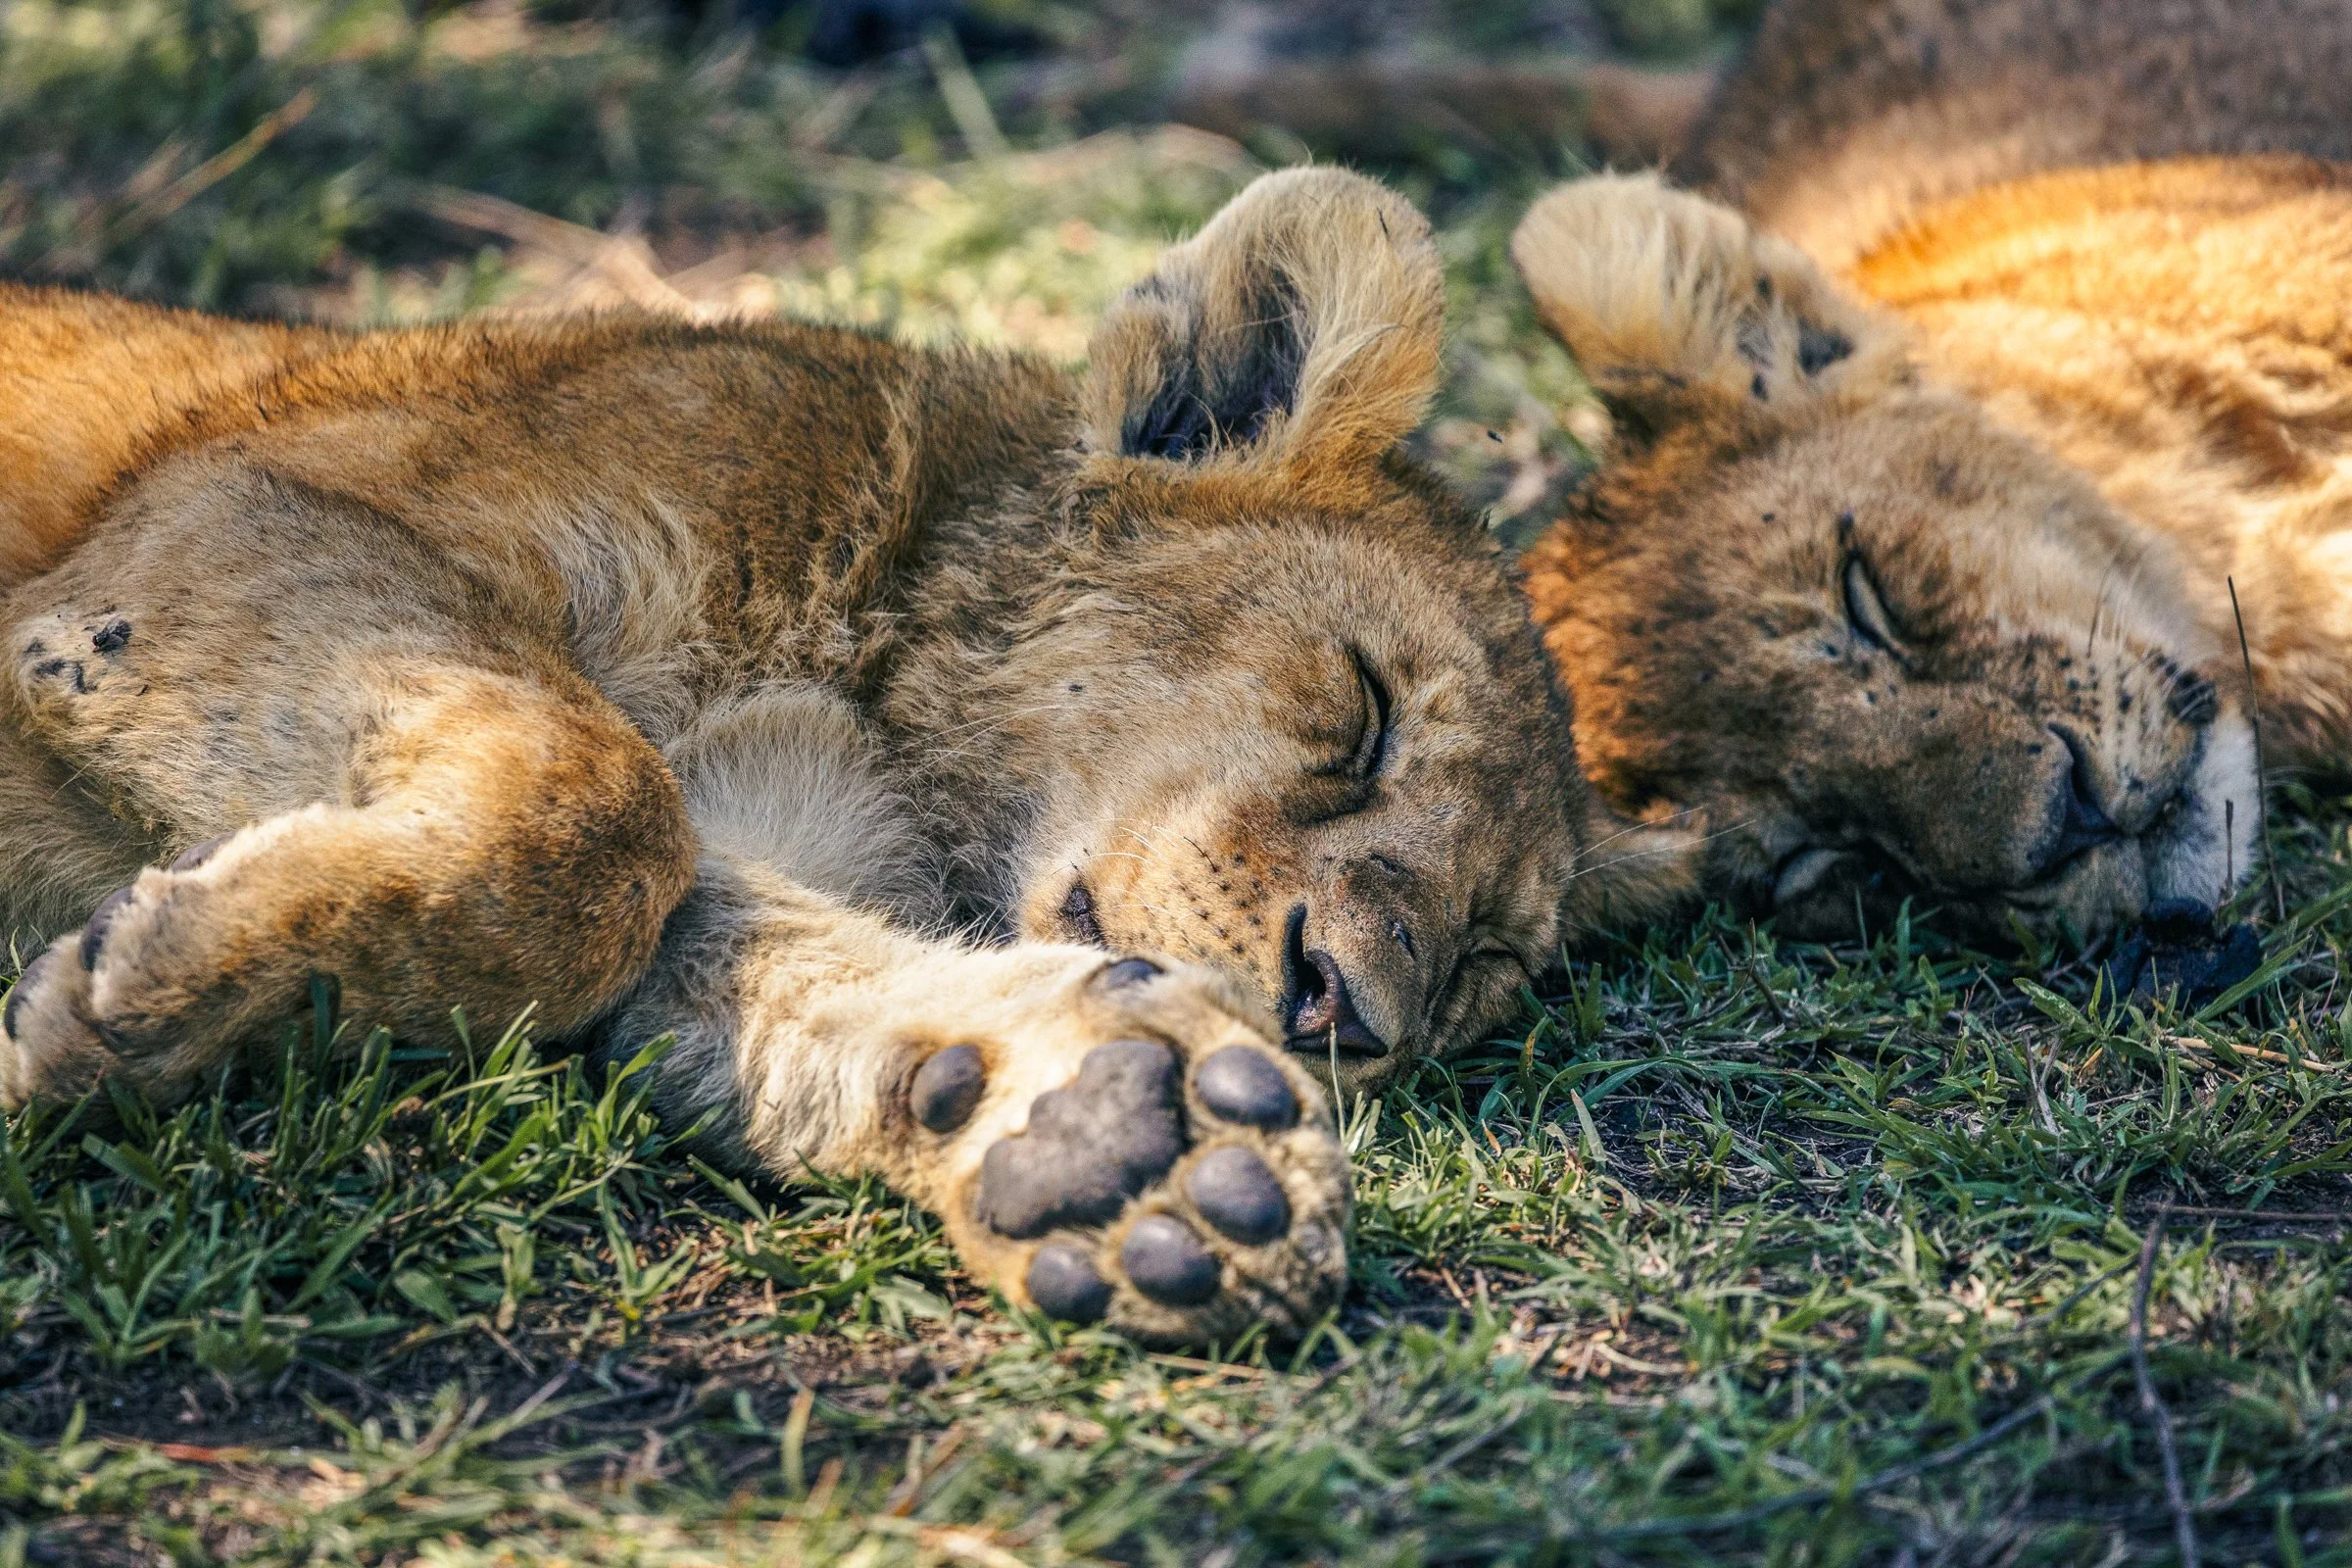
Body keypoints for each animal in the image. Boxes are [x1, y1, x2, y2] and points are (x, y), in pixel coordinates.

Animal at [0, 169, 1665, 1343]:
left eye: (1482, 961)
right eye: (1365, 713)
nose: (1347, 1006)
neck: (874, 710)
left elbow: (764, 954)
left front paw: (1117, 1136)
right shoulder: (226, 515)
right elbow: (609, 807)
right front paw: (153, 990)